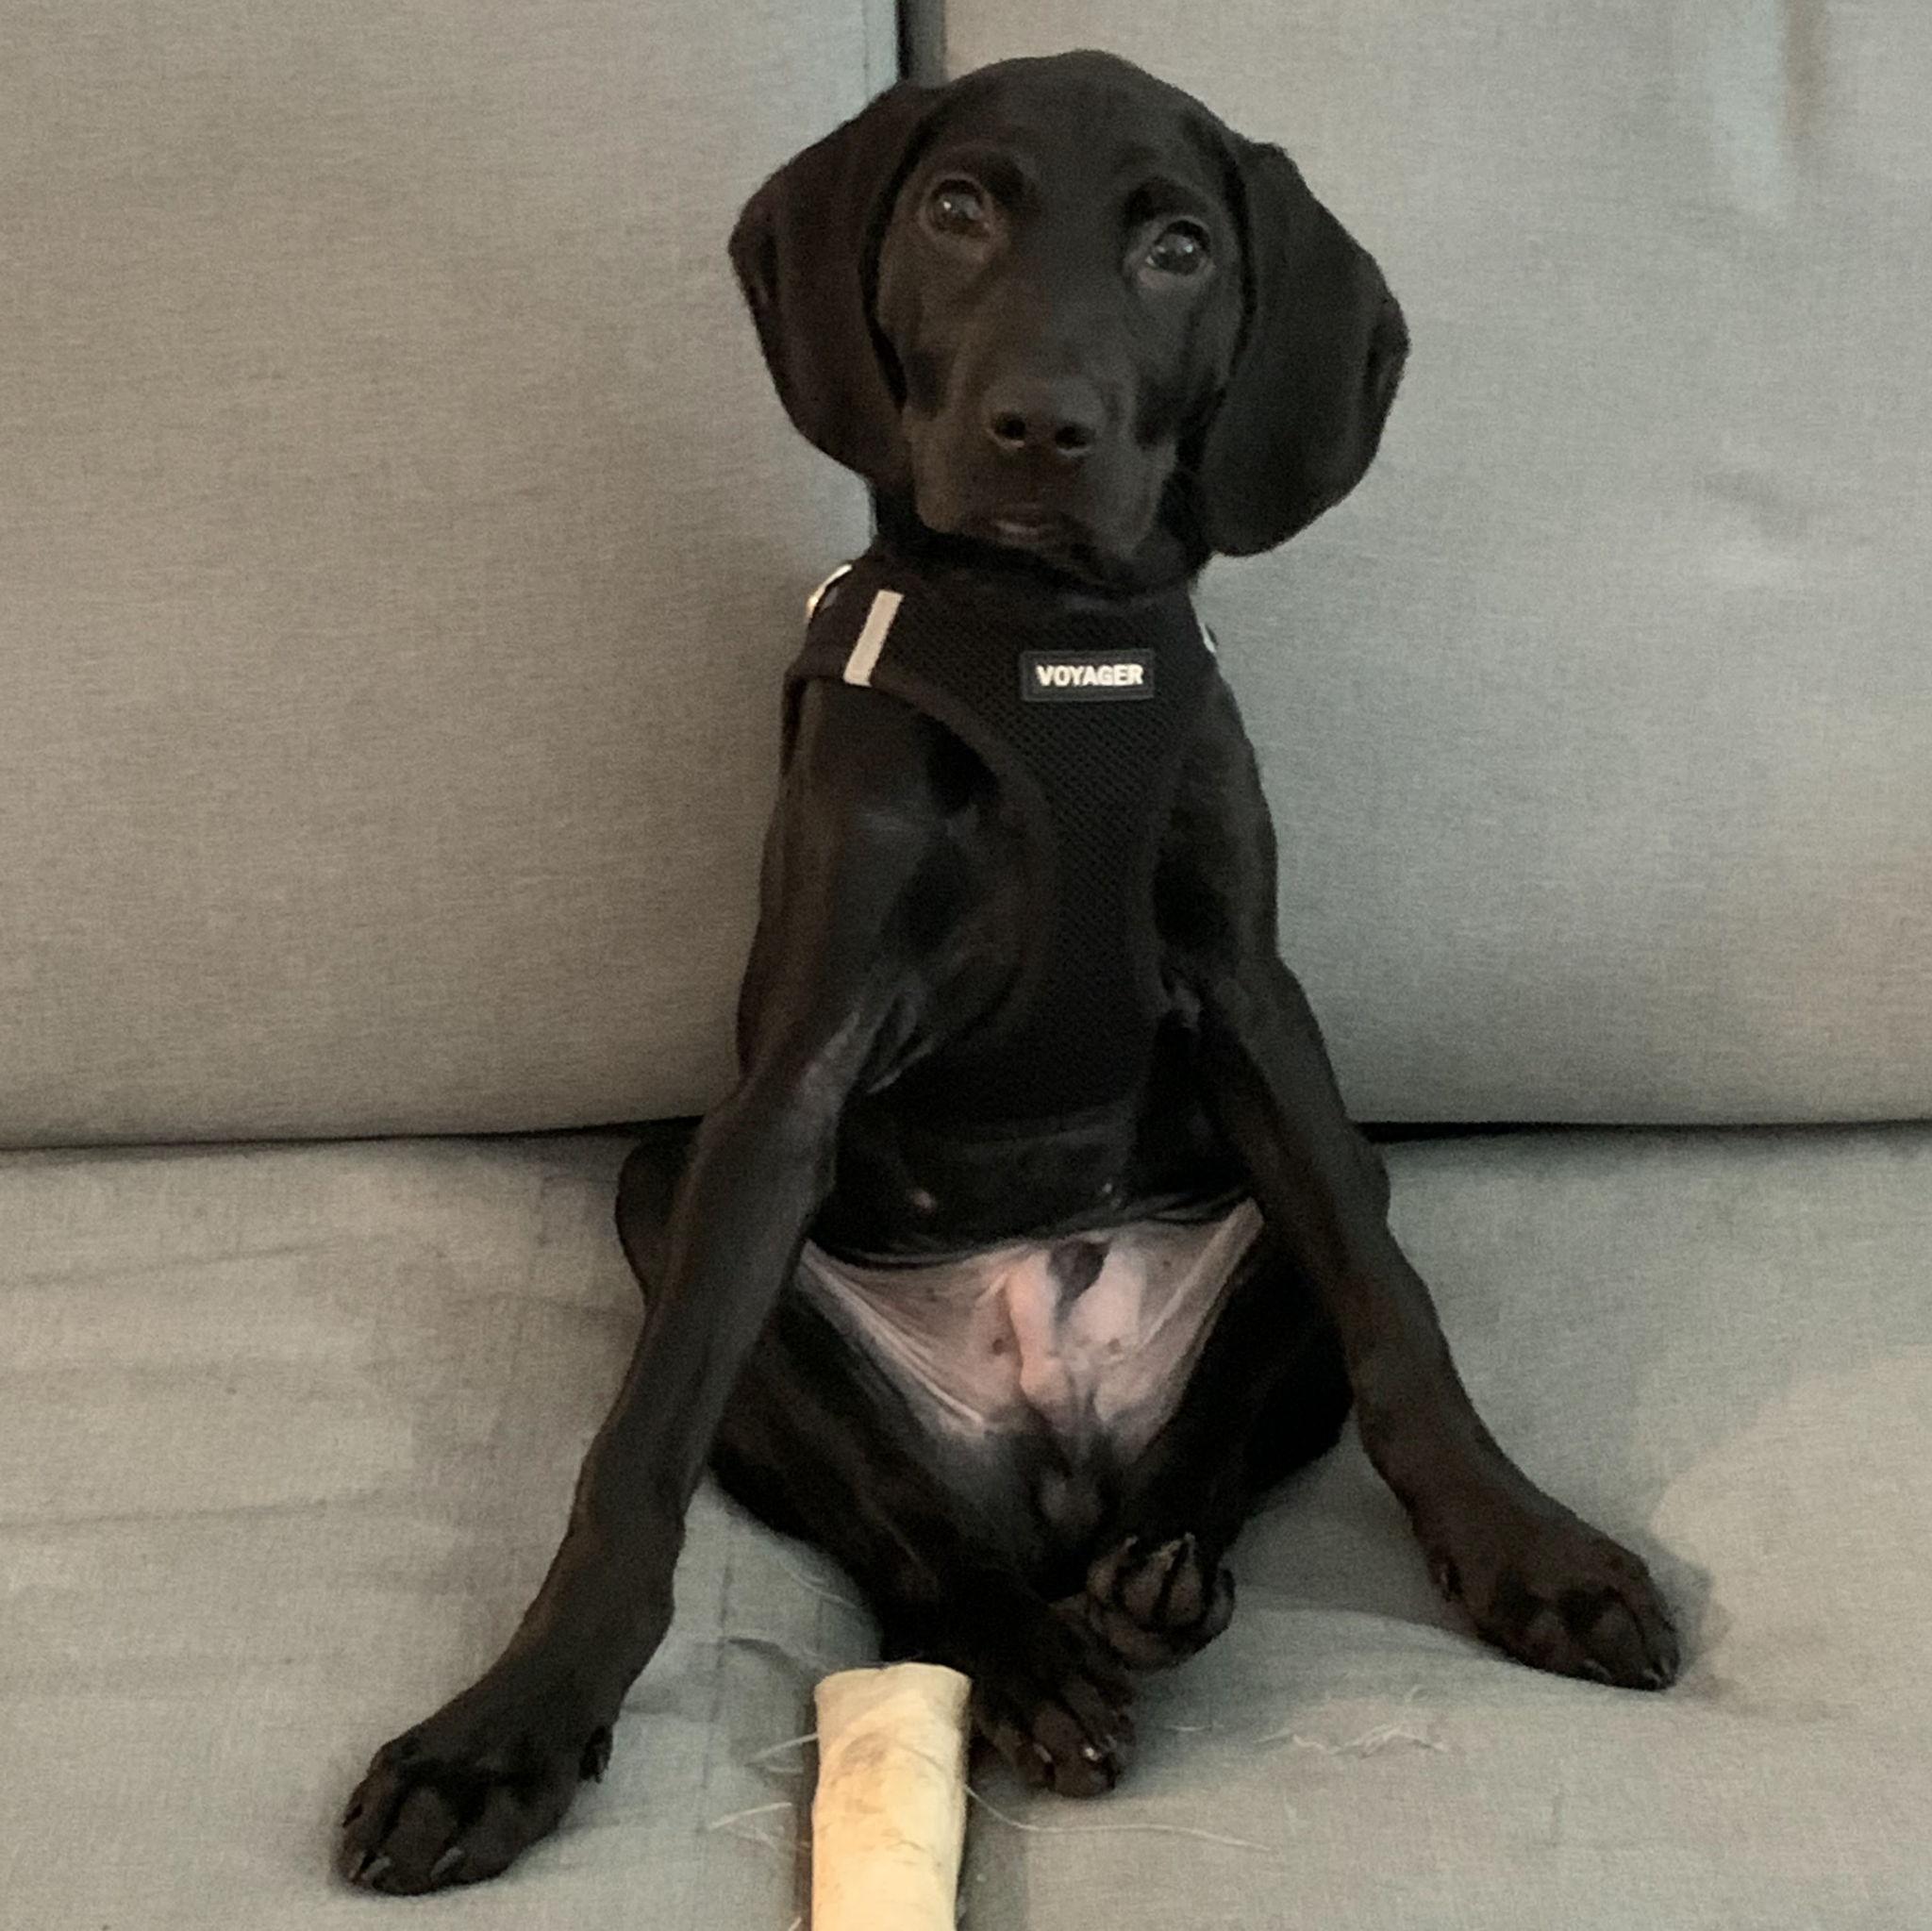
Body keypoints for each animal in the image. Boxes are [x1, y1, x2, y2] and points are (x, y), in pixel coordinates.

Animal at [339, 50, 1679, 1894]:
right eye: (958, 210)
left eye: (1180, 249)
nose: (1042, 426)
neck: (1052, 647)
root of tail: (1048, 1437)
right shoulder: (797, 1072)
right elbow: (639, 1442)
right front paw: (509, 1724)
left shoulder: (1257, 1007)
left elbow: (1394, 1317)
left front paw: (1522, 1548)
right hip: (667, 1198)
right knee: (904, 1533)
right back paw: (1033, 1656)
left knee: (1227, 1418)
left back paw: (1156, 1571)